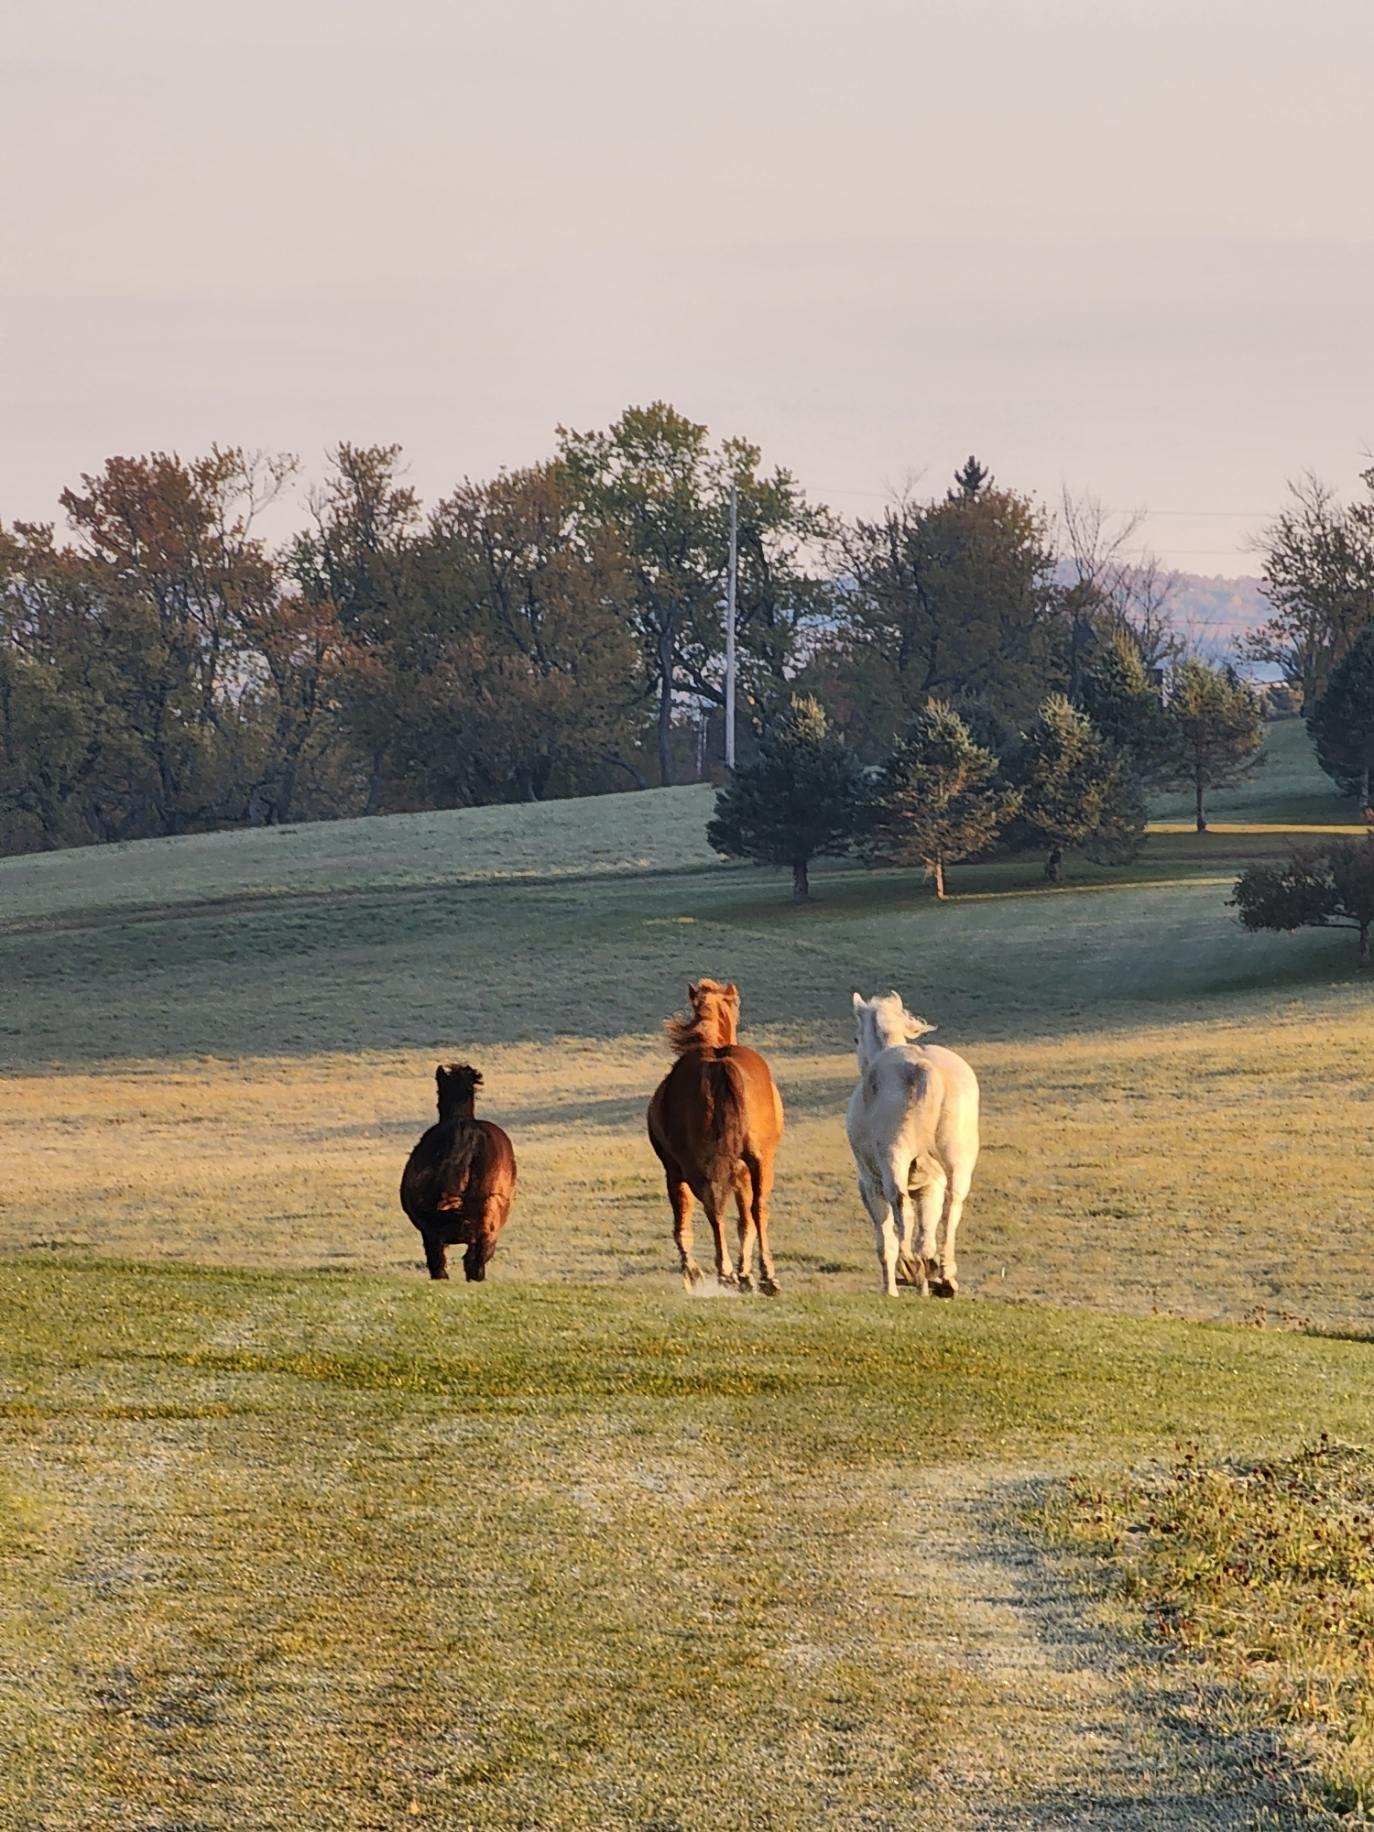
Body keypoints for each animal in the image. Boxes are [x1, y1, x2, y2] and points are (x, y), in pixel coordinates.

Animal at [647, 979, 784, 1294]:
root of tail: (718, 1065)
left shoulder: (677, 1171)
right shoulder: (741, 1171)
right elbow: (745, 1219)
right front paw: (745, 1273)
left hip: (703, 1167)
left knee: (715, 1206)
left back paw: (722, 1272)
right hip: (757, 1162)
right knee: (752, 1207)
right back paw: (759, 1275)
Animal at [846, 992, 980, 1299]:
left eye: (857, 1038)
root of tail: (924, 1067)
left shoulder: (870, 1186)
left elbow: (887, 1241)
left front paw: (892, 1287)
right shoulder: (929, 1187)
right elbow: (926, 1234)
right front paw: (925, 1285)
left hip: (894, 1158)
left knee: (899, 1201)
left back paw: (910, 1267)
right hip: (957, 1162)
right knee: (952, 1205)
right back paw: (945, 1276)